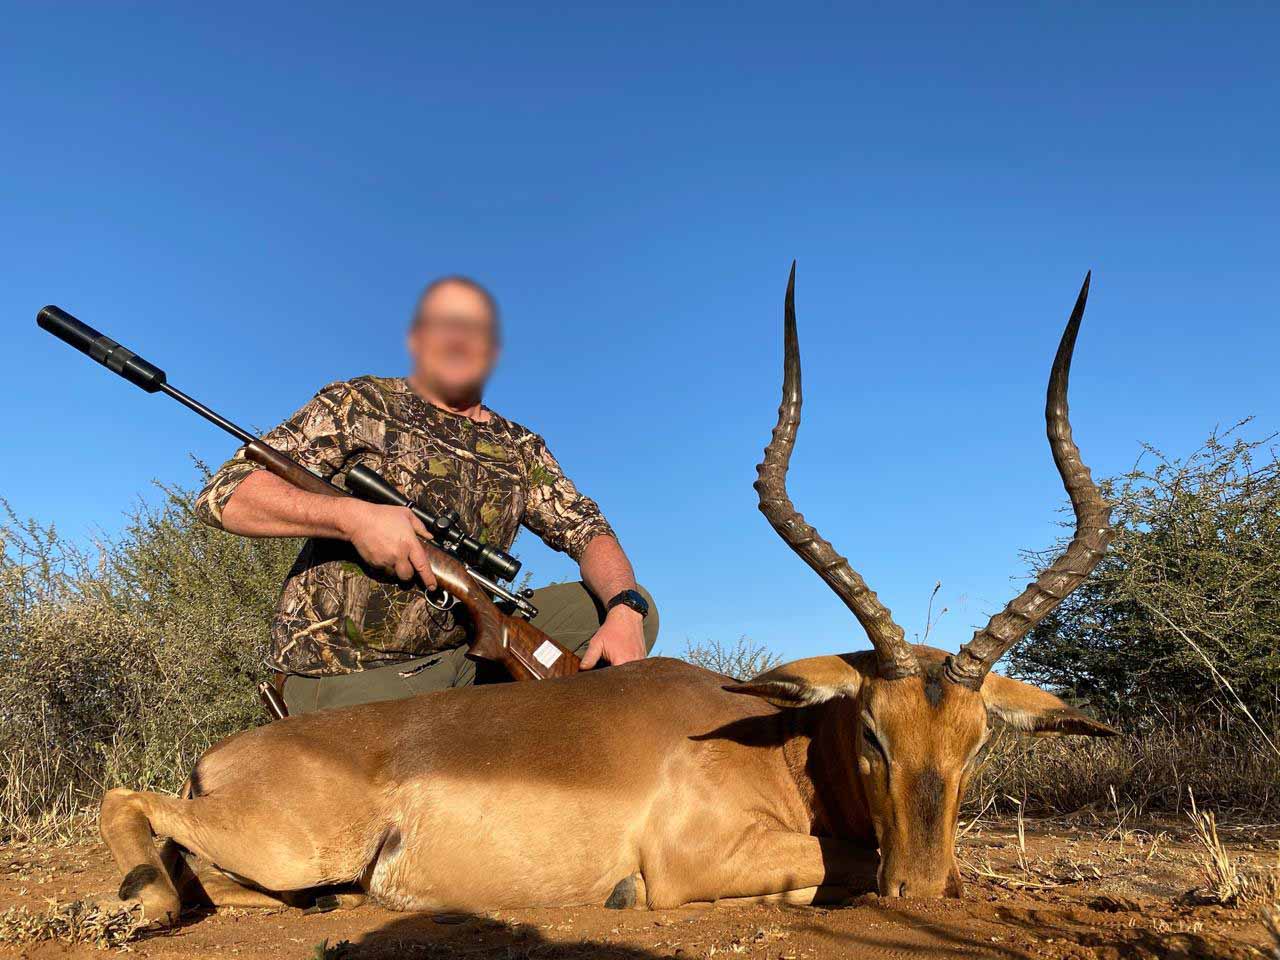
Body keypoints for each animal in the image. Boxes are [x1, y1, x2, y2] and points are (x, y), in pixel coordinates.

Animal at [99, 266, 1117, 925]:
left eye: (976, 743)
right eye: (871, 731)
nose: (925, 892)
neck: (762, 743)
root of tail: (228, 754)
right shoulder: (698, 858)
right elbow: (843, 862)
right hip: (286, 840)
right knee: (126, 801)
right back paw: (145, 903)